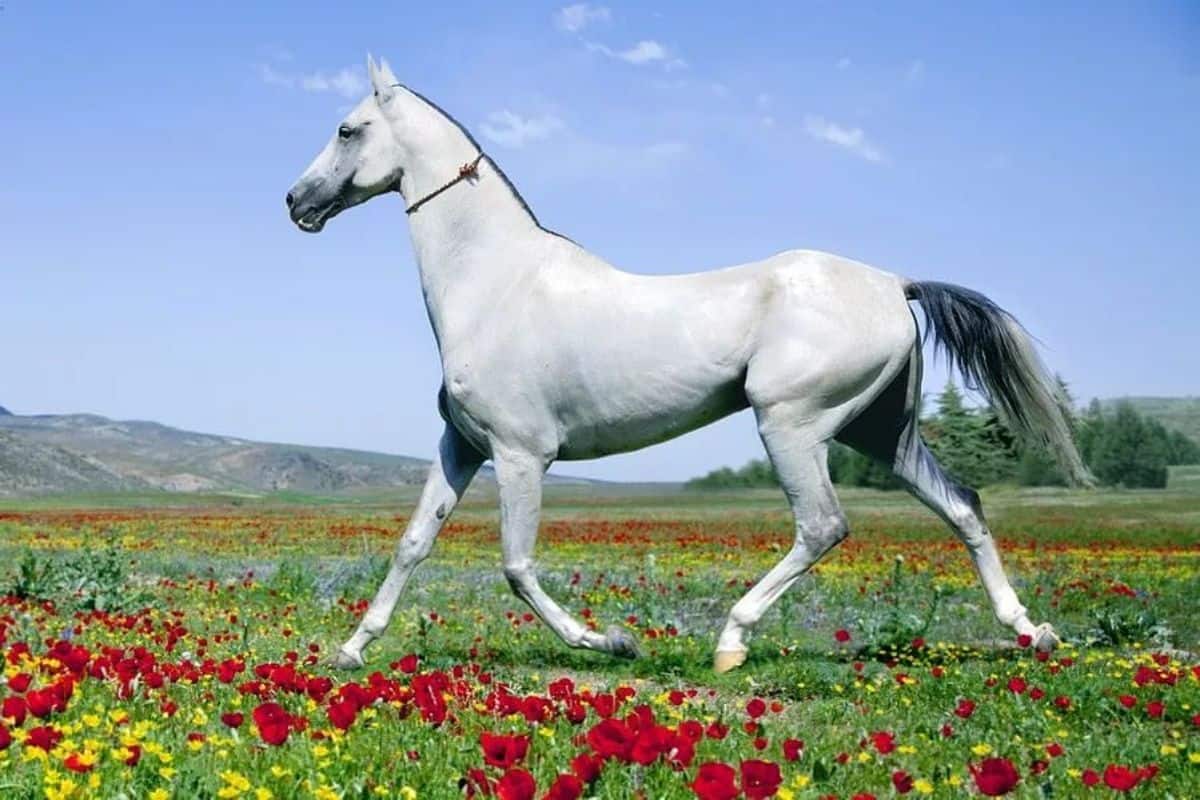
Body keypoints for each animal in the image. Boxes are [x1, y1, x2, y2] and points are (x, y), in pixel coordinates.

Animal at [288, 57, 1089, 671]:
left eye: (347, 128)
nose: (297, 200)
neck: (495, 284)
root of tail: (895, 282)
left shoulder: (522, 455)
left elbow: (516, 567)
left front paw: (610, 641)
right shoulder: (462, 445)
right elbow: (413, 544)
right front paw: (351, 650)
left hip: (792, 425)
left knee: (824, 526)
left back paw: (731, 641)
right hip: (880, 433)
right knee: (964, 506)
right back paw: (1031, 631)